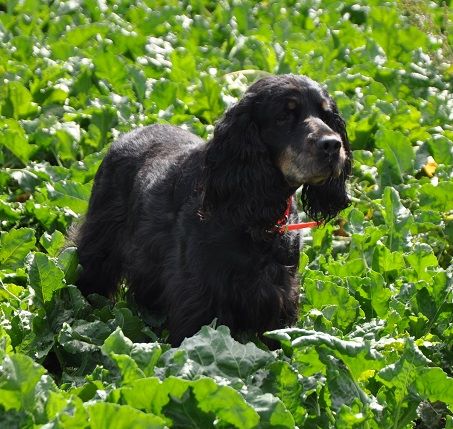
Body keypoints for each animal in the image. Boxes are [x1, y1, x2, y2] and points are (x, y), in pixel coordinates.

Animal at [76, 74, 350, 344]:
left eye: (326, 115)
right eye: (284, 115)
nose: (332, 145)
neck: (254, 216)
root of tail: (127, 133)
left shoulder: (281, 297)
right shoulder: (199, 299)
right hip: (99, 248)